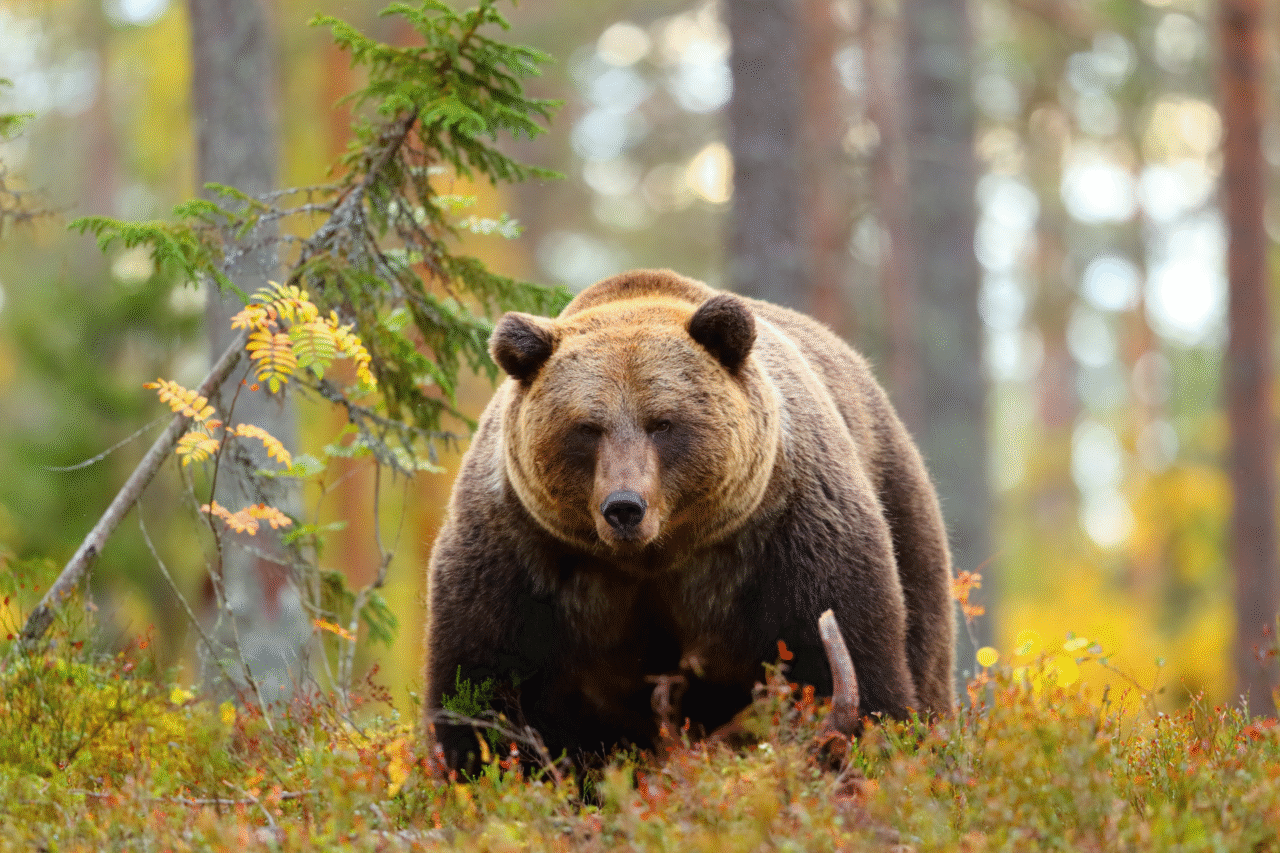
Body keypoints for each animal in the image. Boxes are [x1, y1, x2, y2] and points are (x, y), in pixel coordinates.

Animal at [424, 268, 954, 772]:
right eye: (587, 427)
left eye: (662, 422)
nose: (624, 507)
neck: (654, 556)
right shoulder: (523, 555)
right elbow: (481, 686)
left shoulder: (789, 536)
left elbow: (850, 662)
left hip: (901, 506)